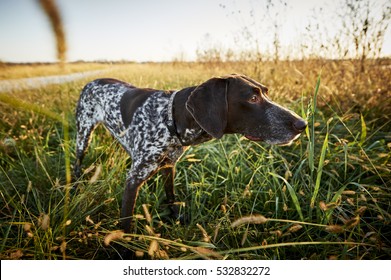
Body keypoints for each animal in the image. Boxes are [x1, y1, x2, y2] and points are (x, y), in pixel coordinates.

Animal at [72, 74, 306, 232]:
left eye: (266, 92)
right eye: (252, 98)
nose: (302, 124)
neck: (170, 118)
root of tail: (91, 81)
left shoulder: (168, 166)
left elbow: (171, 197)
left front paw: (176, 218)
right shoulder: (133, 181)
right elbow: (126, 225)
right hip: (83, 135)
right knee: (76, 165)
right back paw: (74, 188)